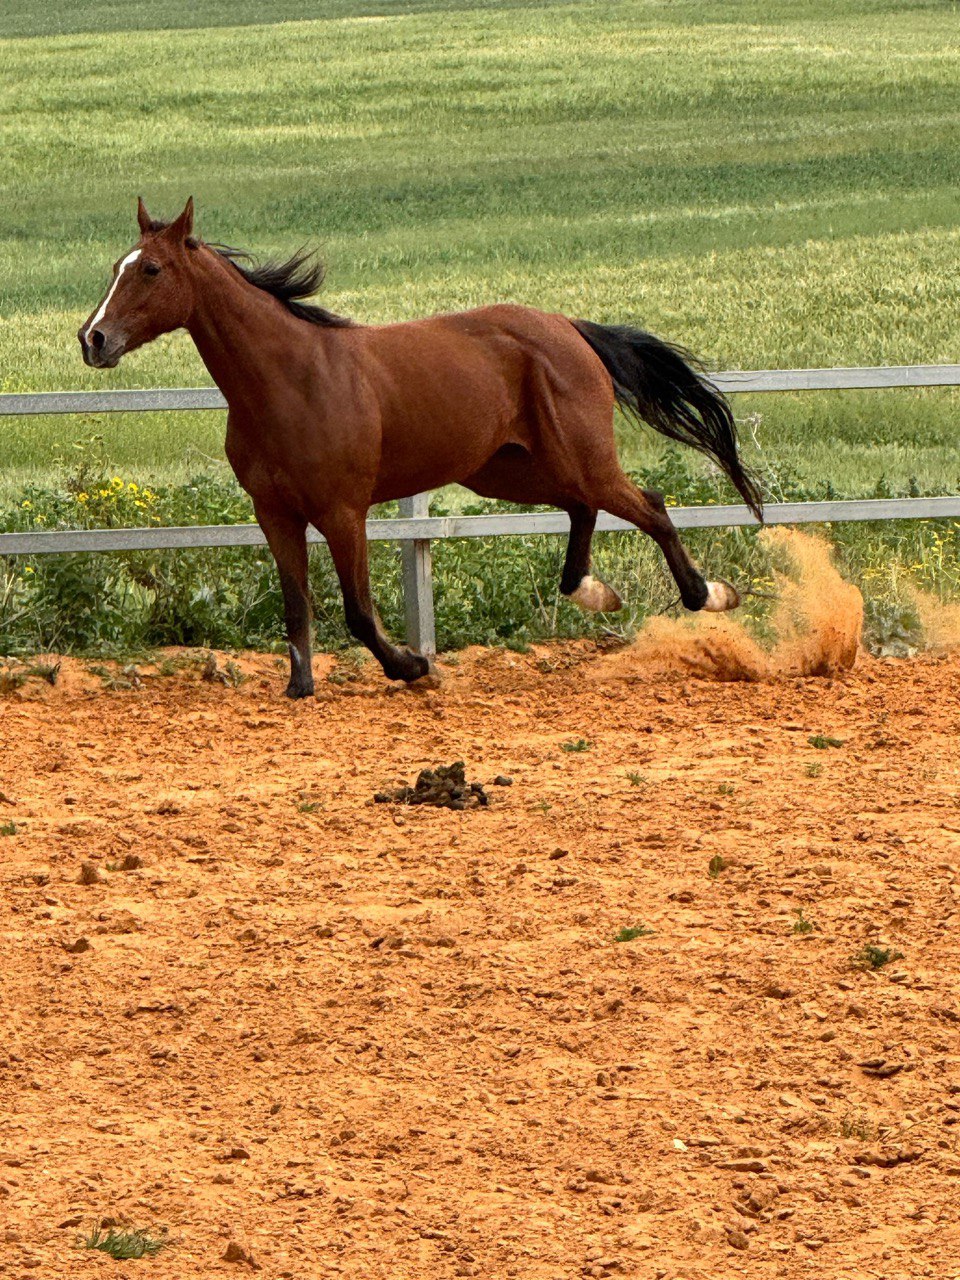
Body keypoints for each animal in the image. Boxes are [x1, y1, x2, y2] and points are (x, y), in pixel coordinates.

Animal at [79, 198, 762, 698]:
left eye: (150, 270)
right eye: (116, 265)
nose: (93, 338)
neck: (289, 379)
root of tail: (567, 328)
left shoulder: (342, 511)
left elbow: (357, 611)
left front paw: (413, 667)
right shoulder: (275, 514)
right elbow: (297, 603)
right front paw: (300, 688)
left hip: (580, 460)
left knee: (649, 504)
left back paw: (709, 595)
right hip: (508, 471)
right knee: (585, 509)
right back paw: (594, 591)